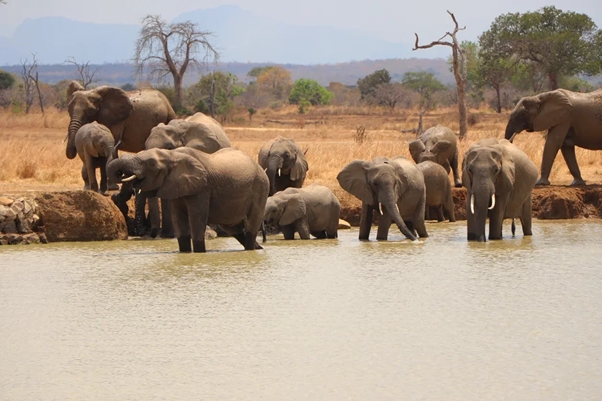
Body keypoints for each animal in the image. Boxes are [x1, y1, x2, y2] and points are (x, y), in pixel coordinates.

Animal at [64, 81, 176, 238]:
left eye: (90, 112)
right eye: (68, 109)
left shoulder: (116, 121)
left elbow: (113, 143)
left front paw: (111, 187)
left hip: (169, 116)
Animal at [105, 147, 268, 252]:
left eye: (151, 164)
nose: (121, 173)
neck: (172, 154)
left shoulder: (202, 188)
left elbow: (196, 219)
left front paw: (199, 253)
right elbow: (178, 219)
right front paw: (184, 253)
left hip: (261, 188)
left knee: (251, 225)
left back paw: (251, 249)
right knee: (232, 228)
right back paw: (258, 247)